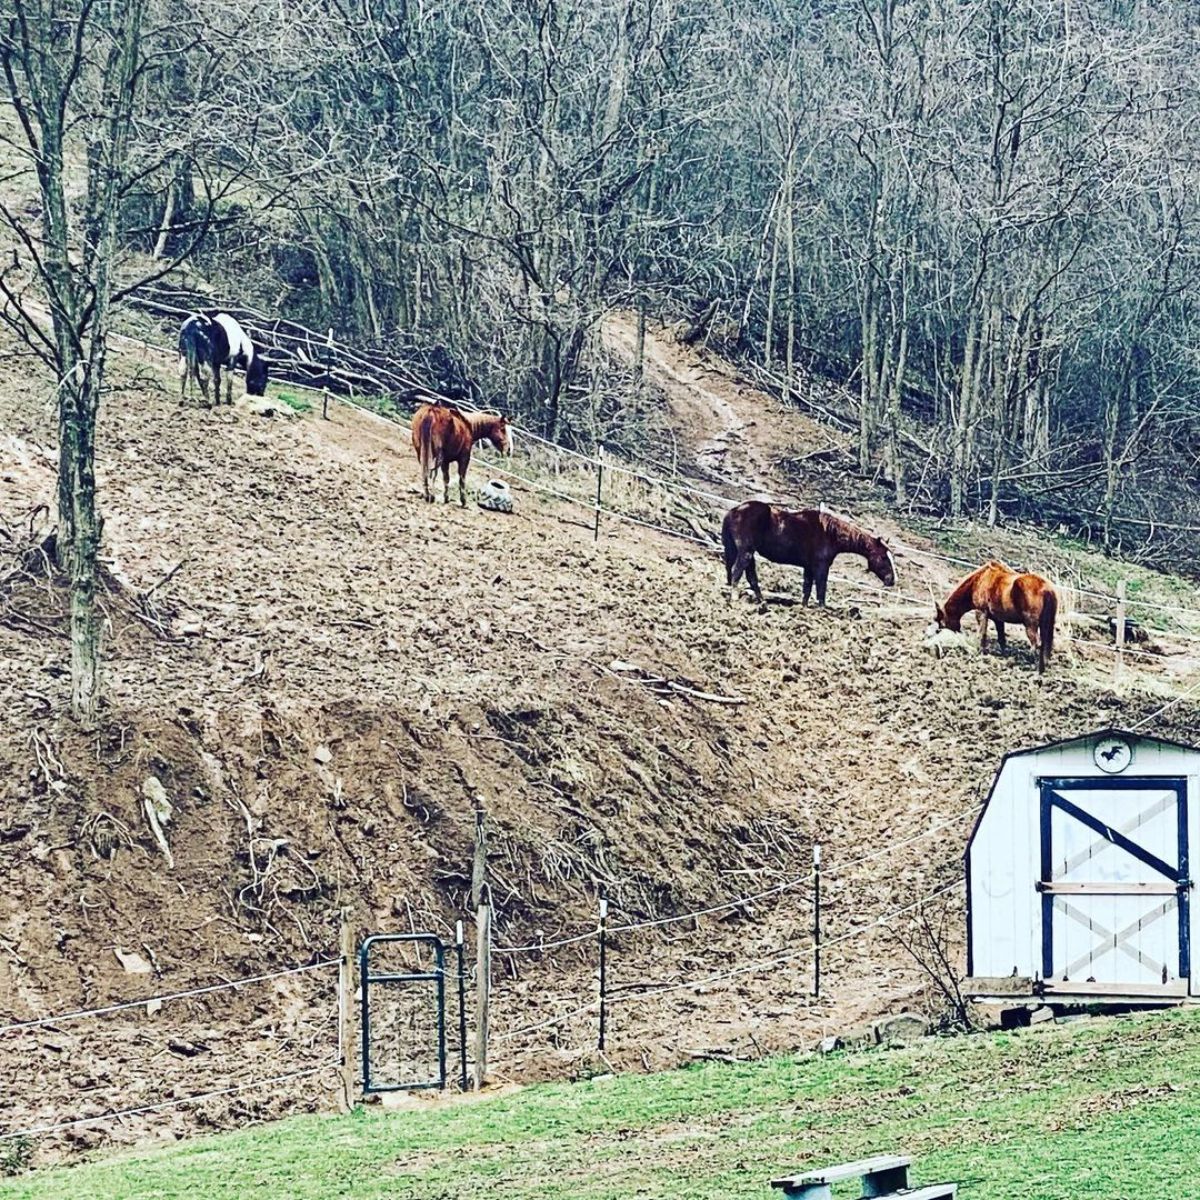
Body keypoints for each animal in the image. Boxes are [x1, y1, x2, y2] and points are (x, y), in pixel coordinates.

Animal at [715, 499, 897, 604]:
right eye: (883, 557)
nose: (892, 580)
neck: (829, 533)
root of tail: (734, 510)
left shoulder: (809, 568)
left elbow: (807, 589)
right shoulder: (821, 568)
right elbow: (821, 590)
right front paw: (822, 609)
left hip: (748, 553)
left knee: (751, 575)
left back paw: (761, 601)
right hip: (745, 552)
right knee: (737, 571)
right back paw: (735, 597)